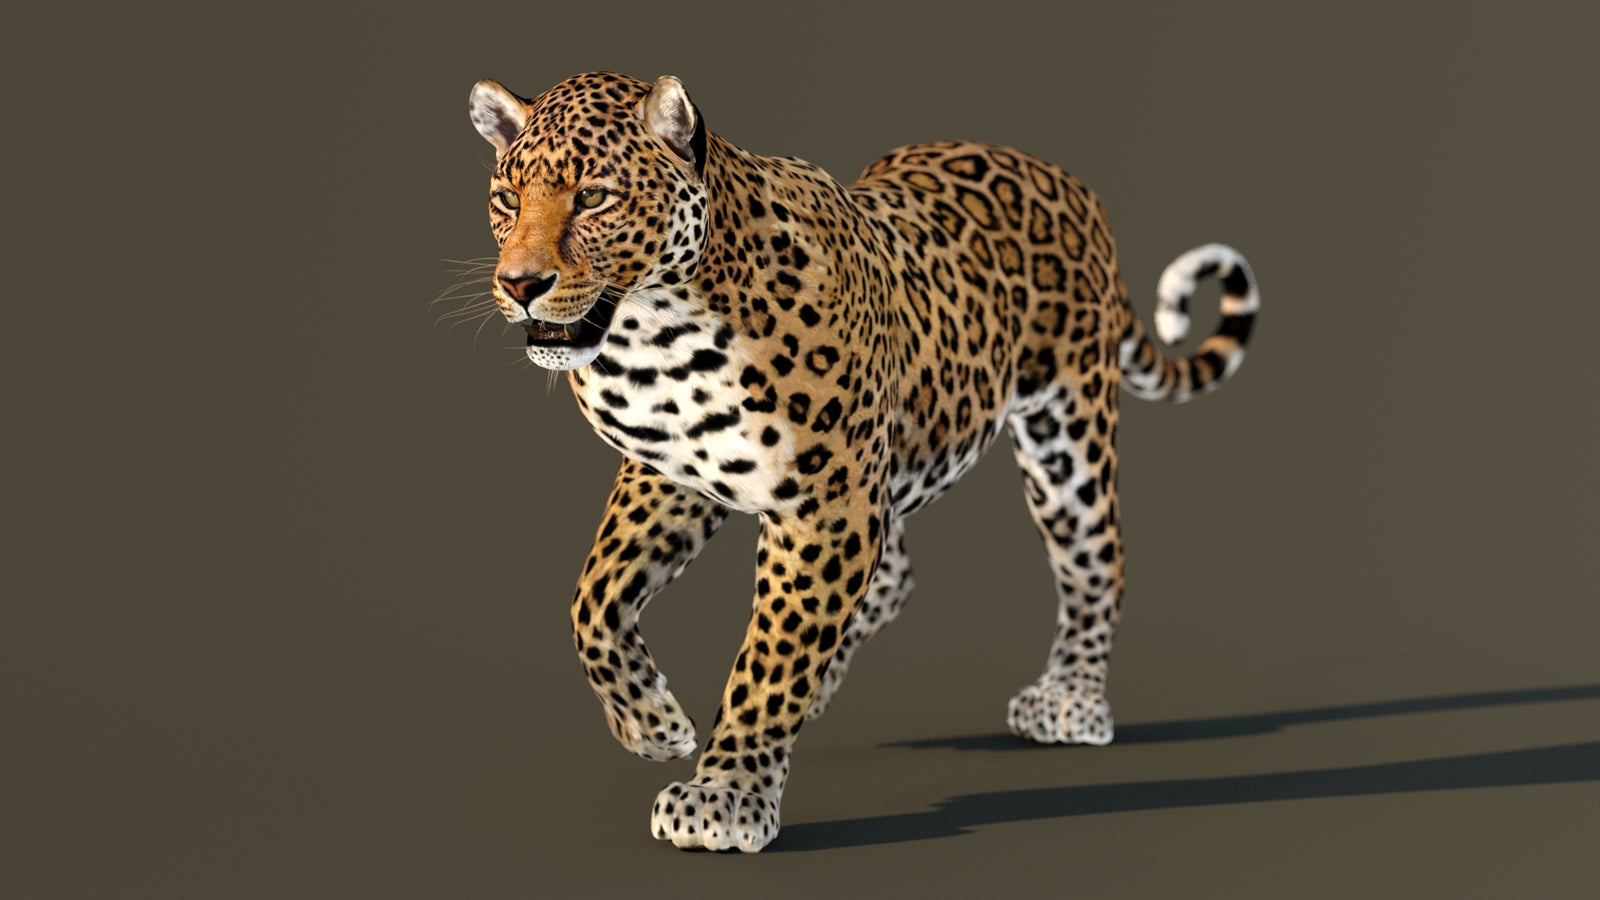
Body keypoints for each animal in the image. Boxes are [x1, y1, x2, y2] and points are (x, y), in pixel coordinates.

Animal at [464, 71, 1259, 852]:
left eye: (595, 196)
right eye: (507, 199)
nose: (520, 285)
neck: (654, 336)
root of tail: (1067, 180)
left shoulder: (823, 501)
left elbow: (771, 657)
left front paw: (725, 793)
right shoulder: (669, 471)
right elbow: (593, 598)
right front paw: (652, 725)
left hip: (1067, 440)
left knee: (1098, 565)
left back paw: (1070, 699)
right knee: (891, 575)